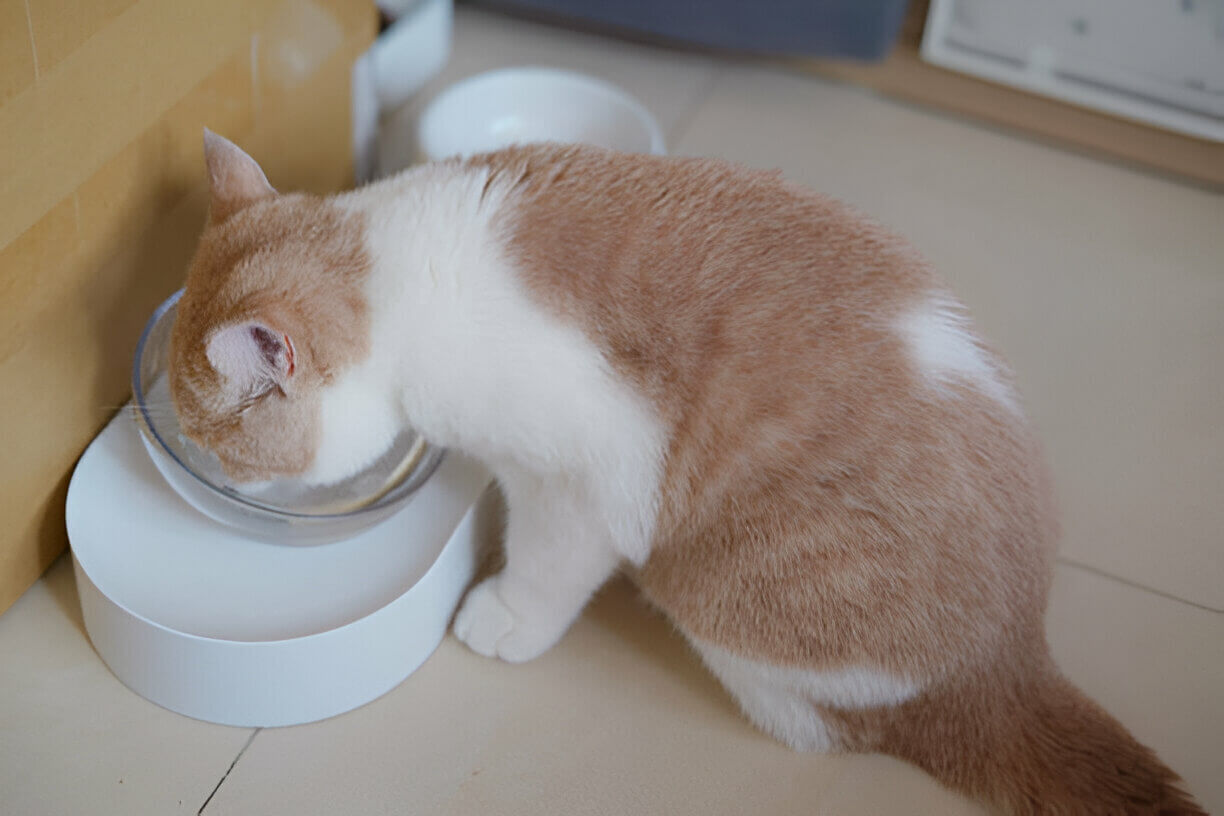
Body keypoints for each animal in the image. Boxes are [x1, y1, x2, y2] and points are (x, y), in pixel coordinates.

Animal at [170, 130, 1204, 812]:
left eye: (221, 450)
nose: (224, 482)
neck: (403, 277)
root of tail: (1017, 658)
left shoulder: (582, 484)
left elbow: (546, 564)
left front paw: (507, 616)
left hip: (720, 587)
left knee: (830, 724)